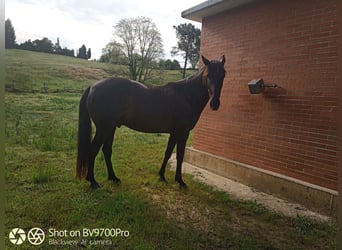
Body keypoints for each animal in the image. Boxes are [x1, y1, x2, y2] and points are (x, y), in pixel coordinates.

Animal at [78, 55, 227, 188]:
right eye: (208, 75)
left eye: (223, 75)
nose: (215, 104)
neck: (187, 96)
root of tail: (93, 86)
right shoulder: (183, 132)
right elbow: (180, 156)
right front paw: (180, 181)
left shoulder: (174, 133)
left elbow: (168, 153)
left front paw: (161, 176)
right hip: (104, 129)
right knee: (93, 150)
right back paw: (93, 181)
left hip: (110, 128)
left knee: (107, 150)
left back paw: (113, 178)